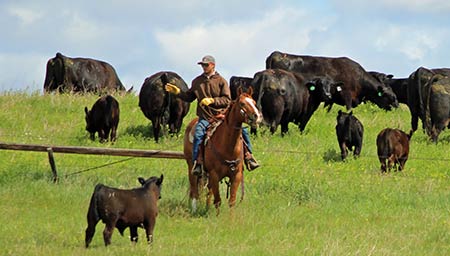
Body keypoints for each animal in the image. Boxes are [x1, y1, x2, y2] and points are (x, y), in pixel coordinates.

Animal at [182, 87, 260, 215]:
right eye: (242, 103)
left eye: (254, 102)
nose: (256, 116)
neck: (228, 146)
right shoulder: (214, 174)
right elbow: (218, 200)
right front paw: (217, 216)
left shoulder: (237, 175)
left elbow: (231, 200)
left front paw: (230, 218)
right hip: (190, 166)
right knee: (194, 190)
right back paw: (194, 209)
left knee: (208, 191)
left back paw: (207, 208)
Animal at [266, 50, 400, 111]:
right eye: (391, 96)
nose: (397, 106)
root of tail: (277, 53)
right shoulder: (347, 94)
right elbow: (349, 108)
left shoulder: (331, 98)